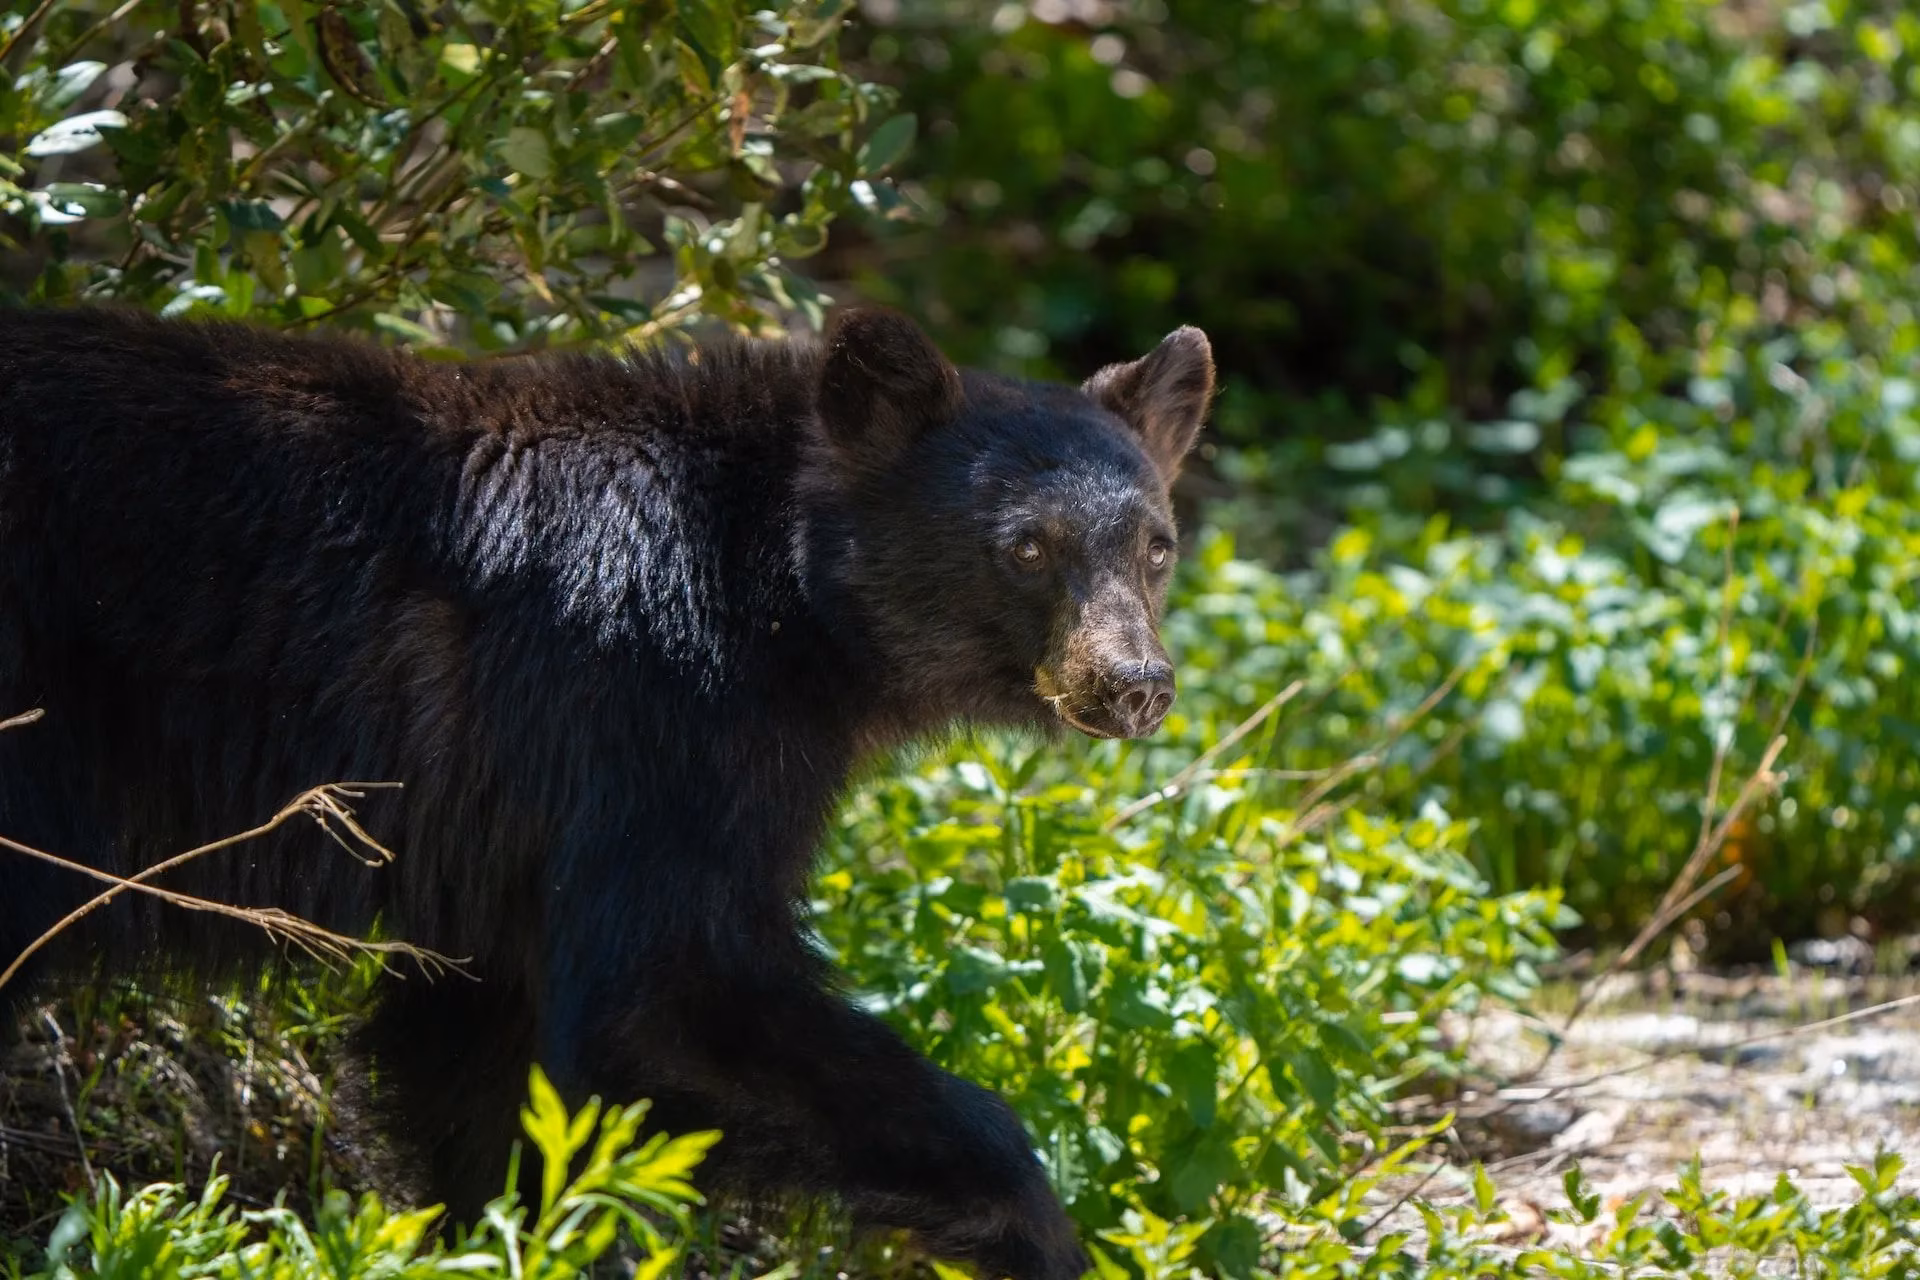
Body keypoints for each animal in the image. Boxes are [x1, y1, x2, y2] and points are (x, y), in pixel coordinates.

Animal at [0, 304, 1213, 1280]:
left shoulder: (513, 835)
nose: (1135, 683)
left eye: (1156, 546)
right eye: (1026, 548)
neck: (782, 595)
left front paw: (506, 1236)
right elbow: (666, 994)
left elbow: (487, 1055)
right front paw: (1037, 1231)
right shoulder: (649, 715)